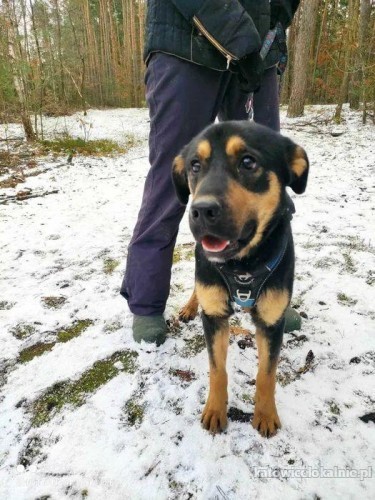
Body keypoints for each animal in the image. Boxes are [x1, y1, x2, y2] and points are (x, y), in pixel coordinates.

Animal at [172, 121, 310, 438]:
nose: (201, 210)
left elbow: (267, 373)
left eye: (248, 162)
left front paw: (266, 414)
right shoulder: (214, 316)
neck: (243, 265)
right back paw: (189, 306)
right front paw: (215, 410)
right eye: (195, 165)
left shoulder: (271, 322)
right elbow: (217, 369)